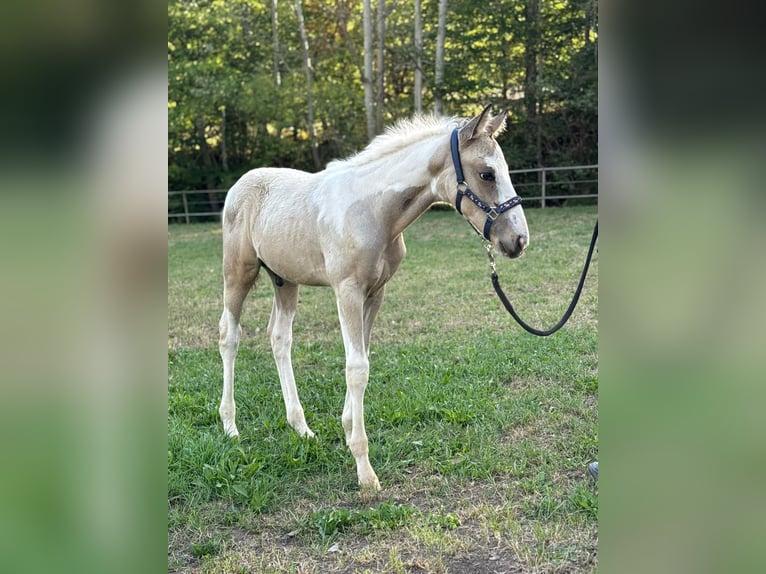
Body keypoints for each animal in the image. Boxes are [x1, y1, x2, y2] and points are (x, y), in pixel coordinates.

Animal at [218, 105, 529, 492]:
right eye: (487, 173)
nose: (518, 240)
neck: (374, 211)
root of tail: (240, 184)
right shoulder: (347, 290)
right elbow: (356, 368)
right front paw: (365, 470)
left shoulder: (376, 292)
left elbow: (363, 359)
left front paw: (348, 428)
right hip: (238, 273)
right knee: (229, 336)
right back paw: (230, 426)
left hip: (285, 280)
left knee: (279, 338)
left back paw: (301, 428)